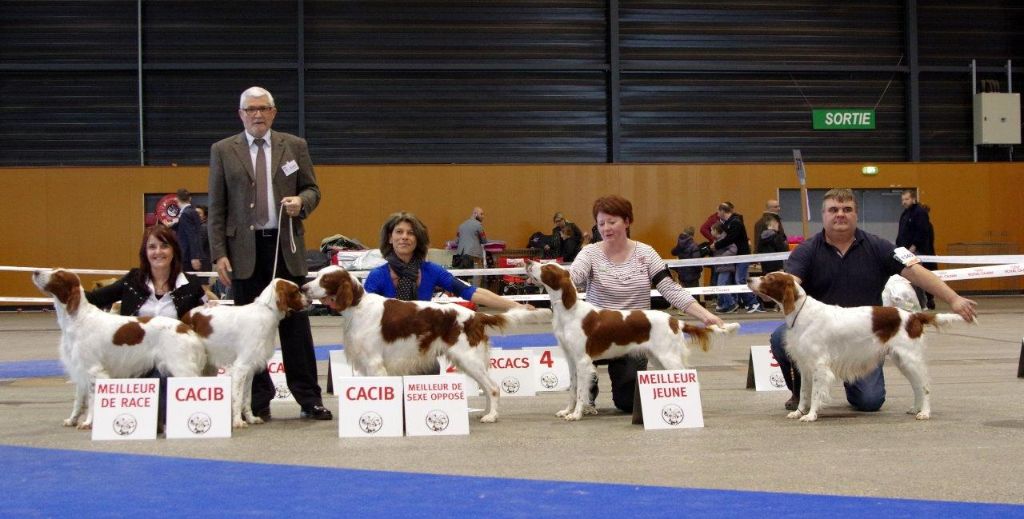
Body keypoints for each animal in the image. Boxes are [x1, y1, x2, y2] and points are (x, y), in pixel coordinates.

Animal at [31, 268, 205, 429]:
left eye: (59, 275)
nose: (35, 271)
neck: (77, 318)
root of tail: (185, 327)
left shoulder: (93, 370)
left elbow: (92, 399)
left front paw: (88, 422)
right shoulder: (79, 368)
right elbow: (78, 399)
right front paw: (72, 419)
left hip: (181, 367)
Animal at [184, 278, 305, 427]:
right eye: (295, 291)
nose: (309, 300)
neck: (266, 311)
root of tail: (187, 315)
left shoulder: (250, 369)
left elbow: (247, 398)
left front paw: (251, 418)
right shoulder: (241, 367)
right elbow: (237, 397)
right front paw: (238, 421)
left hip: (208, 365)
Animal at [301, 266, 552, 423]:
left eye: (325, 279)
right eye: (318, 276)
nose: (303, 288)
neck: (358, 306)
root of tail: (476, 316)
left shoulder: (374, 364)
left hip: (468, 359)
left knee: (492, 387)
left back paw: (491, 416)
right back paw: (487, 412)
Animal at [528, 262, 737, 419]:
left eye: (547, 267)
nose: (529, 262)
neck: (568, 311)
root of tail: (675, 321)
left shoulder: (583, 361)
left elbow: (580, 391)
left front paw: (576, 414)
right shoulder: (571, 359)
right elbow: (573, 388)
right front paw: (567, 411)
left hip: (668, 357)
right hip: (658, 359)